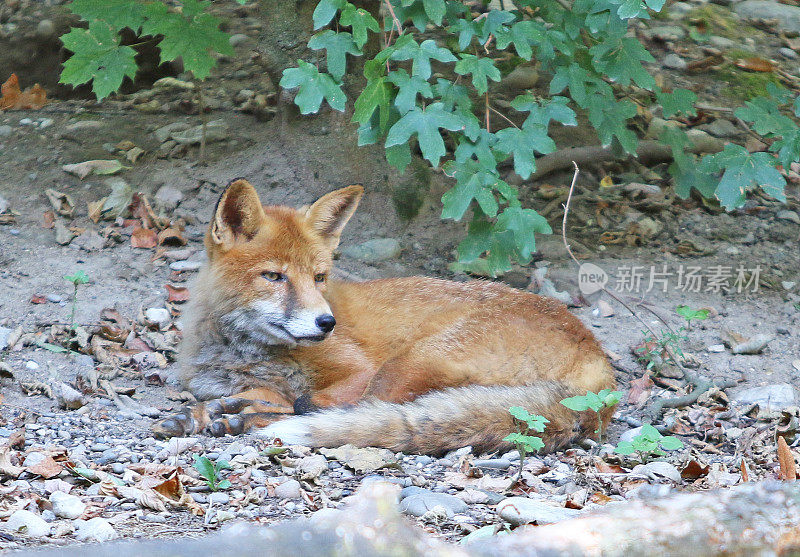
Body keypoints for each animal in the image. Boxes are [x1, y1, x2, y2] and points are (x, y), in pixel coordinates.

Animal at [155, 179, 620, 456]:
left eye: (319, 277)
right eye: (274, 277)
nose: (327, 324)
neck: (246, 355)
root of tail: (600, 362)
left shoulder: (359, 368)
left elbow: (305, 401)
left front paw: (237, 412)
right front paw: (205, 412)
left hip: (412, 360)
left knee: (343, 410)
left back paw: (246, 418)